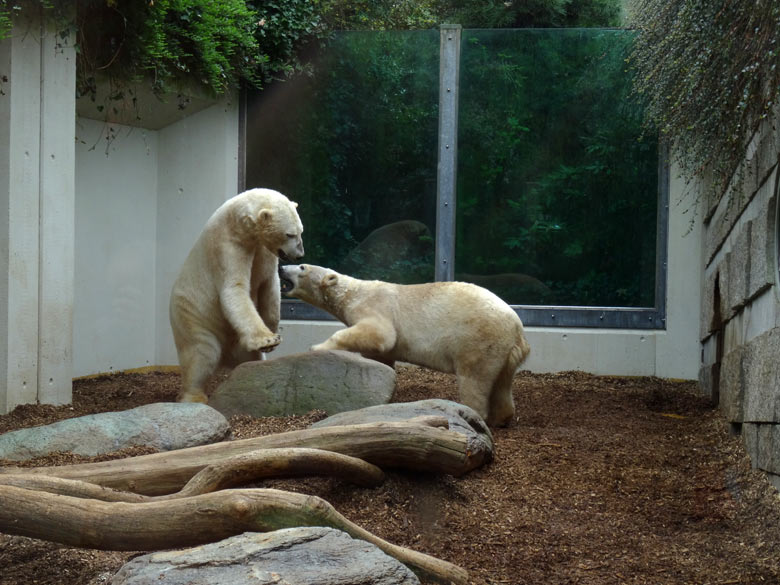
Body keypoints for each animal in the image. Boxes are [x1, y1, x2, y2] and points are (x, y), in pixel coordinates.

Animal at [171, 187, 304, 402]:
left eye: (301, 231)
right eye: (289, 234)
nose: (300, 254)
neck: (237, 222)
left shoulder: (264, 253)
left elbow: (270, 287)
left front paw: (272, 335)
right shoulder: (228, 246)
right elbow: (234, 289)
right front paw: (267, 340)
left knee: (251, 359)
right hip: (191, 314)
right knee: (202, 352)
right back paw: (194, 396)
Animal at [278, 264, 532, 424]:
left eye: (302, 267)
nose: (281, 267)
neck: (352, 292)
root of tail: (517, 327)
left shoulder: (375, 305)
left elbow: (381, 334)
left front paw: (316, 347)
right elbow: (383, 356)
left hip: (478, 338)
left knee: (475, 380)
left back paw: (474, 414)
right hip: (503, 350)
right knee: (502, 381)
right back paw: (503, 417)